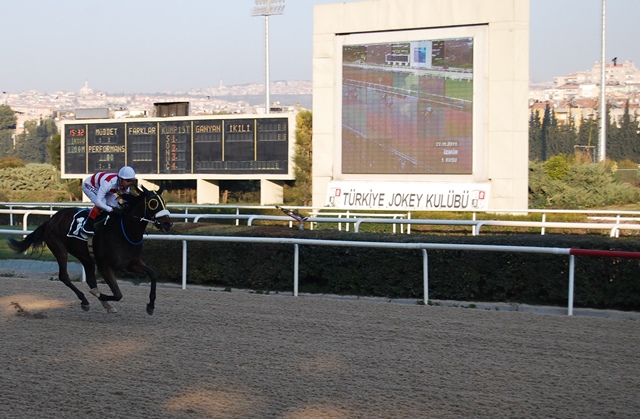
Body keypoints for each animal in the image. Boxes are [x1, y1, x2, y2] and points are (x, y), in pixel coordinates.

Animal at [8, 185, 172, 314]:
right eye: (153, 203)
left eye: (164, 202)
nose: (167, 224)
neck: (124, 231)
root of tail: (51, 219)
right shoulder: (105, 266)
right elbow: (118, 294)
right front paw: (99, 295)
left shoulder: (132, 263)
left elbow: (153, 274)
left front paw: (151, 306)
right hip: (59, 249)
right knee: (64, 276)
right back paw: (85, 300)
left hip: (84, 256)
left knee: (90, 279)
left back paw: (105, 304)